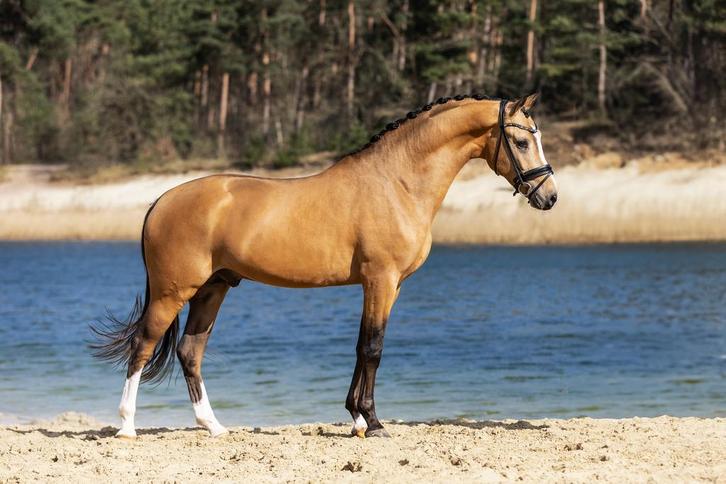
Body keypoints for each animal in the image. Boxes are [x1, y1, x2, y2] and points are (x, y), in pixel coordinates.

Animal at [91, 92, 557, 439]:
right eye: (521, 142)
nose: (549, 196)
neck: (397, 183)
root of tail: (161, 200)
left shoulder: (387, 286)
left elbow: (362, 345)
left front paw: (356, 419)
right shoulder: (380, 280)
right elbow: (373, 348)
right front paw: (373, 422)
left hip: (213, 288)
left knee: (190, 351)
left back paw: (214, 426)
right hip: (173, 291)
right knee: (143, 345)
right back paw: (127, 427)